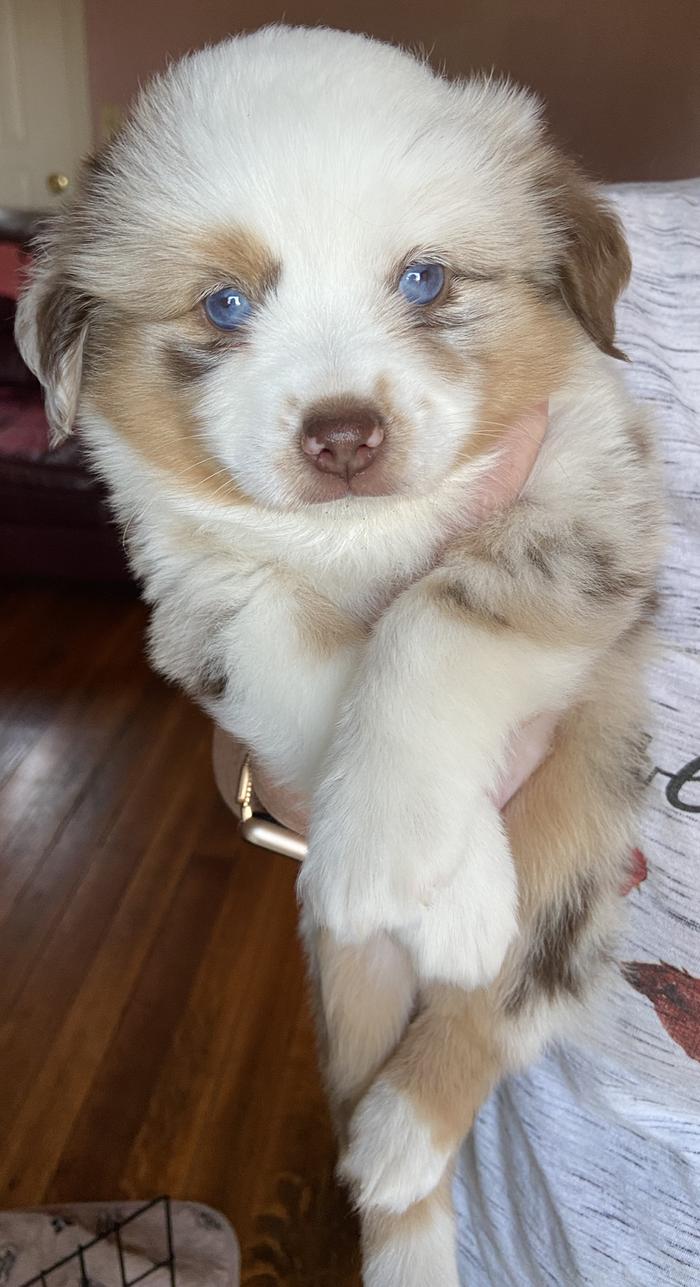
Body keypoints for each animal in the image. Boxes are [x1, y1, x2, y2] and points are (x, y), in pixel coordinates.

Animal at [15, 25, 663, 1281]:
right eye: (223, 304)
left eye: (425, 280)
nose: (343, 436)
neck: (358, 533)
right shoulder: (199, 601)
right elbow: (307, 655)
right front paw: (438, 873)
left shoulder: (587, 520)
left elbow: (431, 621)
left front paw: (425, 875)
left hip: (586, 829)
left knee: (499, 1007)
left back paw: (404, 1136)